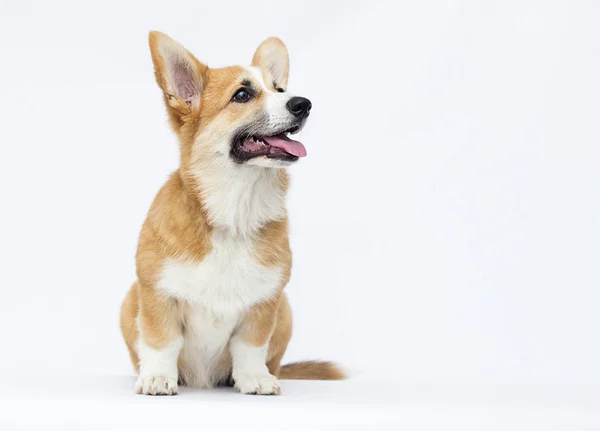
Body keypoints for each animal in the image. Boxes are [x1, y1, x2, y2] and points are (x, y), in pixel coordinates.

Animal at [119, 30, 344, 396]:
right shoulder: (156, 294)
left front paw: (254, 378)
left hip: (286, 311)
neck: (235, 211)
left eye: (279, 89)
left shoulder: (265, 302)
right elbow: (161, 341)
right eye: (242, 94)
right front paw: (157, 378)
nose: (303, 103)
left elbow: (251, 347)